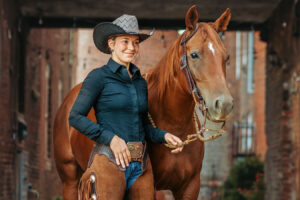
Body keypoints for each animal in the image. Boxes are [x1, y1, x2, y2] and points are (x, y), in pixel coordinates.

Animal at [52, 5, 233, 200]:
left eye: (226, 57)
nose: (224, 104)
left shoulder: (190, 187)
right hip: (70, 181)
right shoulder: (154, 188)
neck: (174, 123)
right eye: (194, 54)